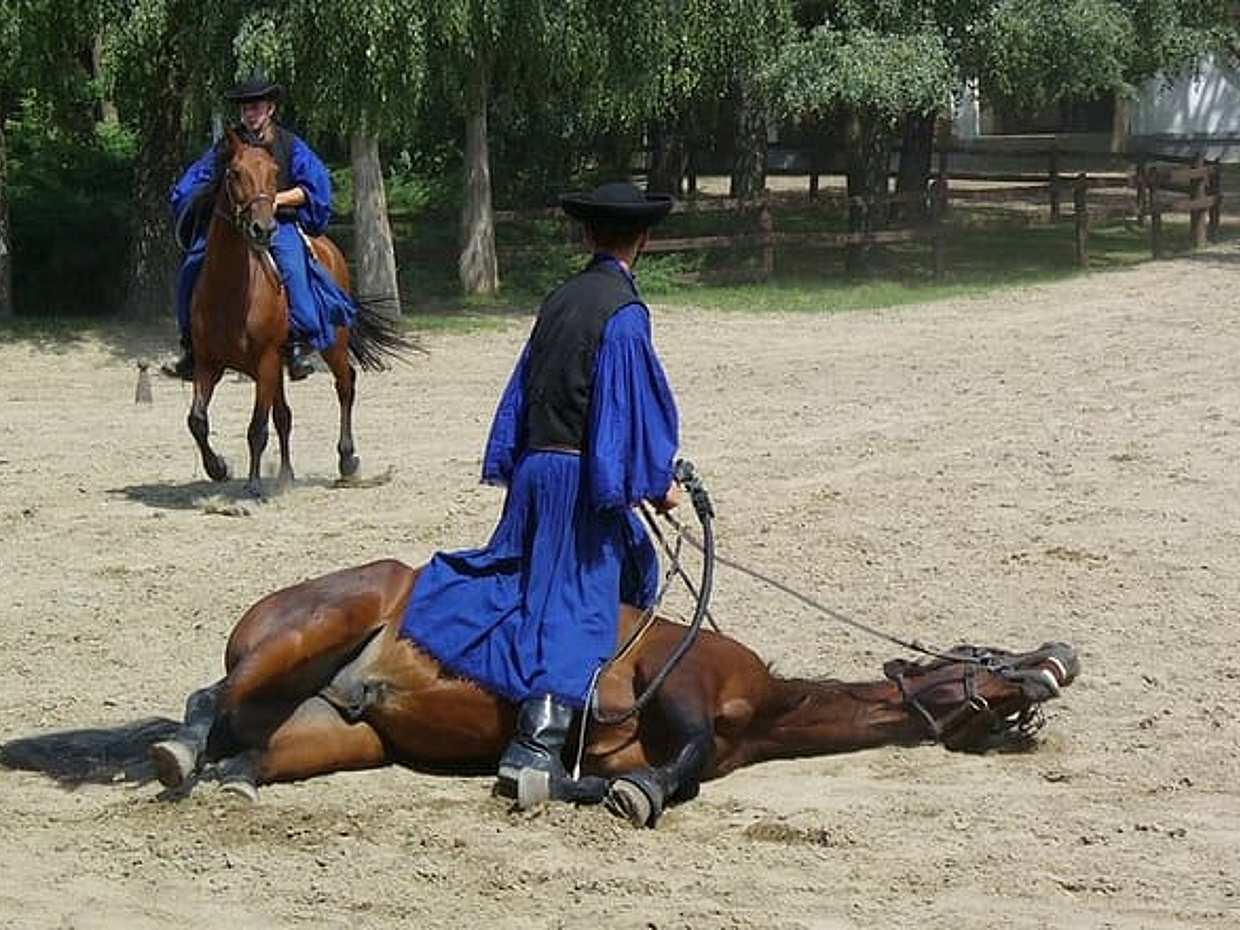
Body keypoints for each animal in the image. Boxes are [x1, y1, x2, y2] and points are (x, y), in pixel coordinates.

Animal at [130, 558, 1079, 828]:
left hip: (334, 730)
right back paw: (178, 749)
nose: (1061, 658)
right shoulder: (679, 683)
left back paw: (230, 777)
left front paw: (557, 783)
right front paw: (621, 794)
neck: (767, 703)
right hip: (313, 625)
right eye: (983, 655)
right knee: (208, 695)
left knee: (251, 749)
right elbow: (680, 762)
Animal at [187, 129, 414, 498]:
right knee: (284, 415)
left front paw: (253, 484)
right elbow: (197, 420)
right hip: (276, 365)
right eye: (234, 173)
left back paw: (347, 460)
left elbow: (257, 427)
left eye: (274, 172)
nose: (263, 229)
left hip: (331, 344)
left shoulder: (265, 361)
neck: (232, 291)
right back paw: (286, 474)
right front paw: (218, 467)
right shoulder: (209, 362)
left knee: (345, 385)